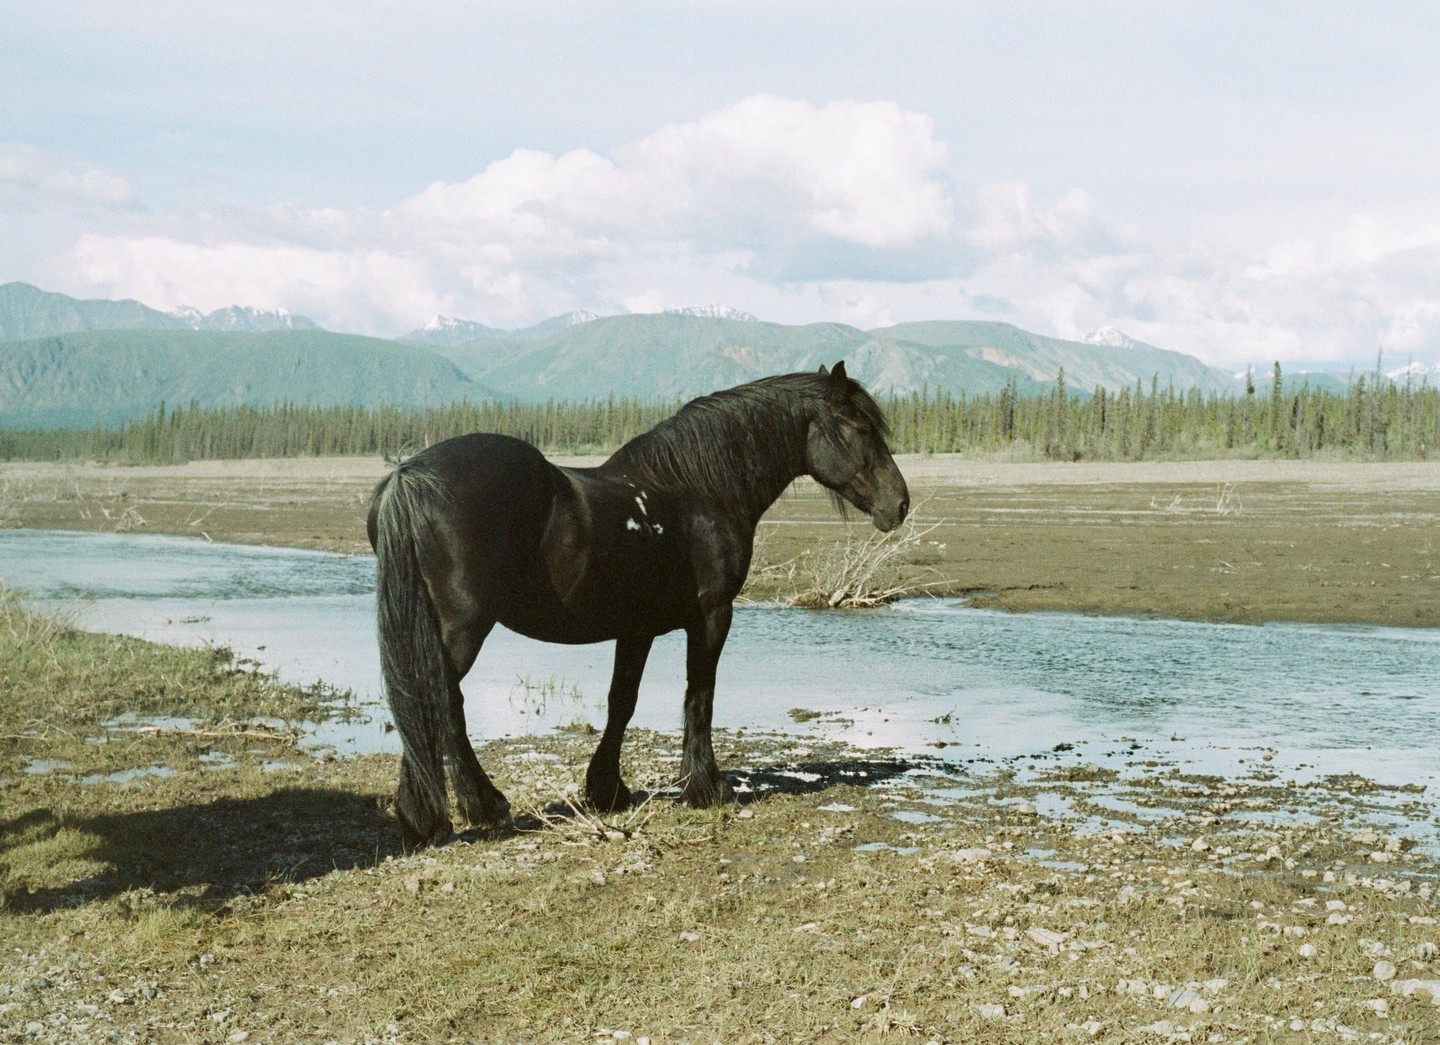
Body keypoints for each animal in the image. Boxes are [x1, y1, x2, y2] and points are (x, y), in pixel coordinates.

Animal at [367, 362, 909, 846]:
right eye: (861, 427)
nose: (900, 504)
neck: (699, 491)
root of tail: (410, 475)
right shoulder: (712, 616)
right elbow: (699, 697)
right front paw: (705, 787)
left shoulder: (636, 628)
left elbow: (621, 702)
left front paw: (606, 789)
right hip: (462, 626)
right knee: (437, 700)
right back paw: (468, 808)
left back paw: (437, 813)